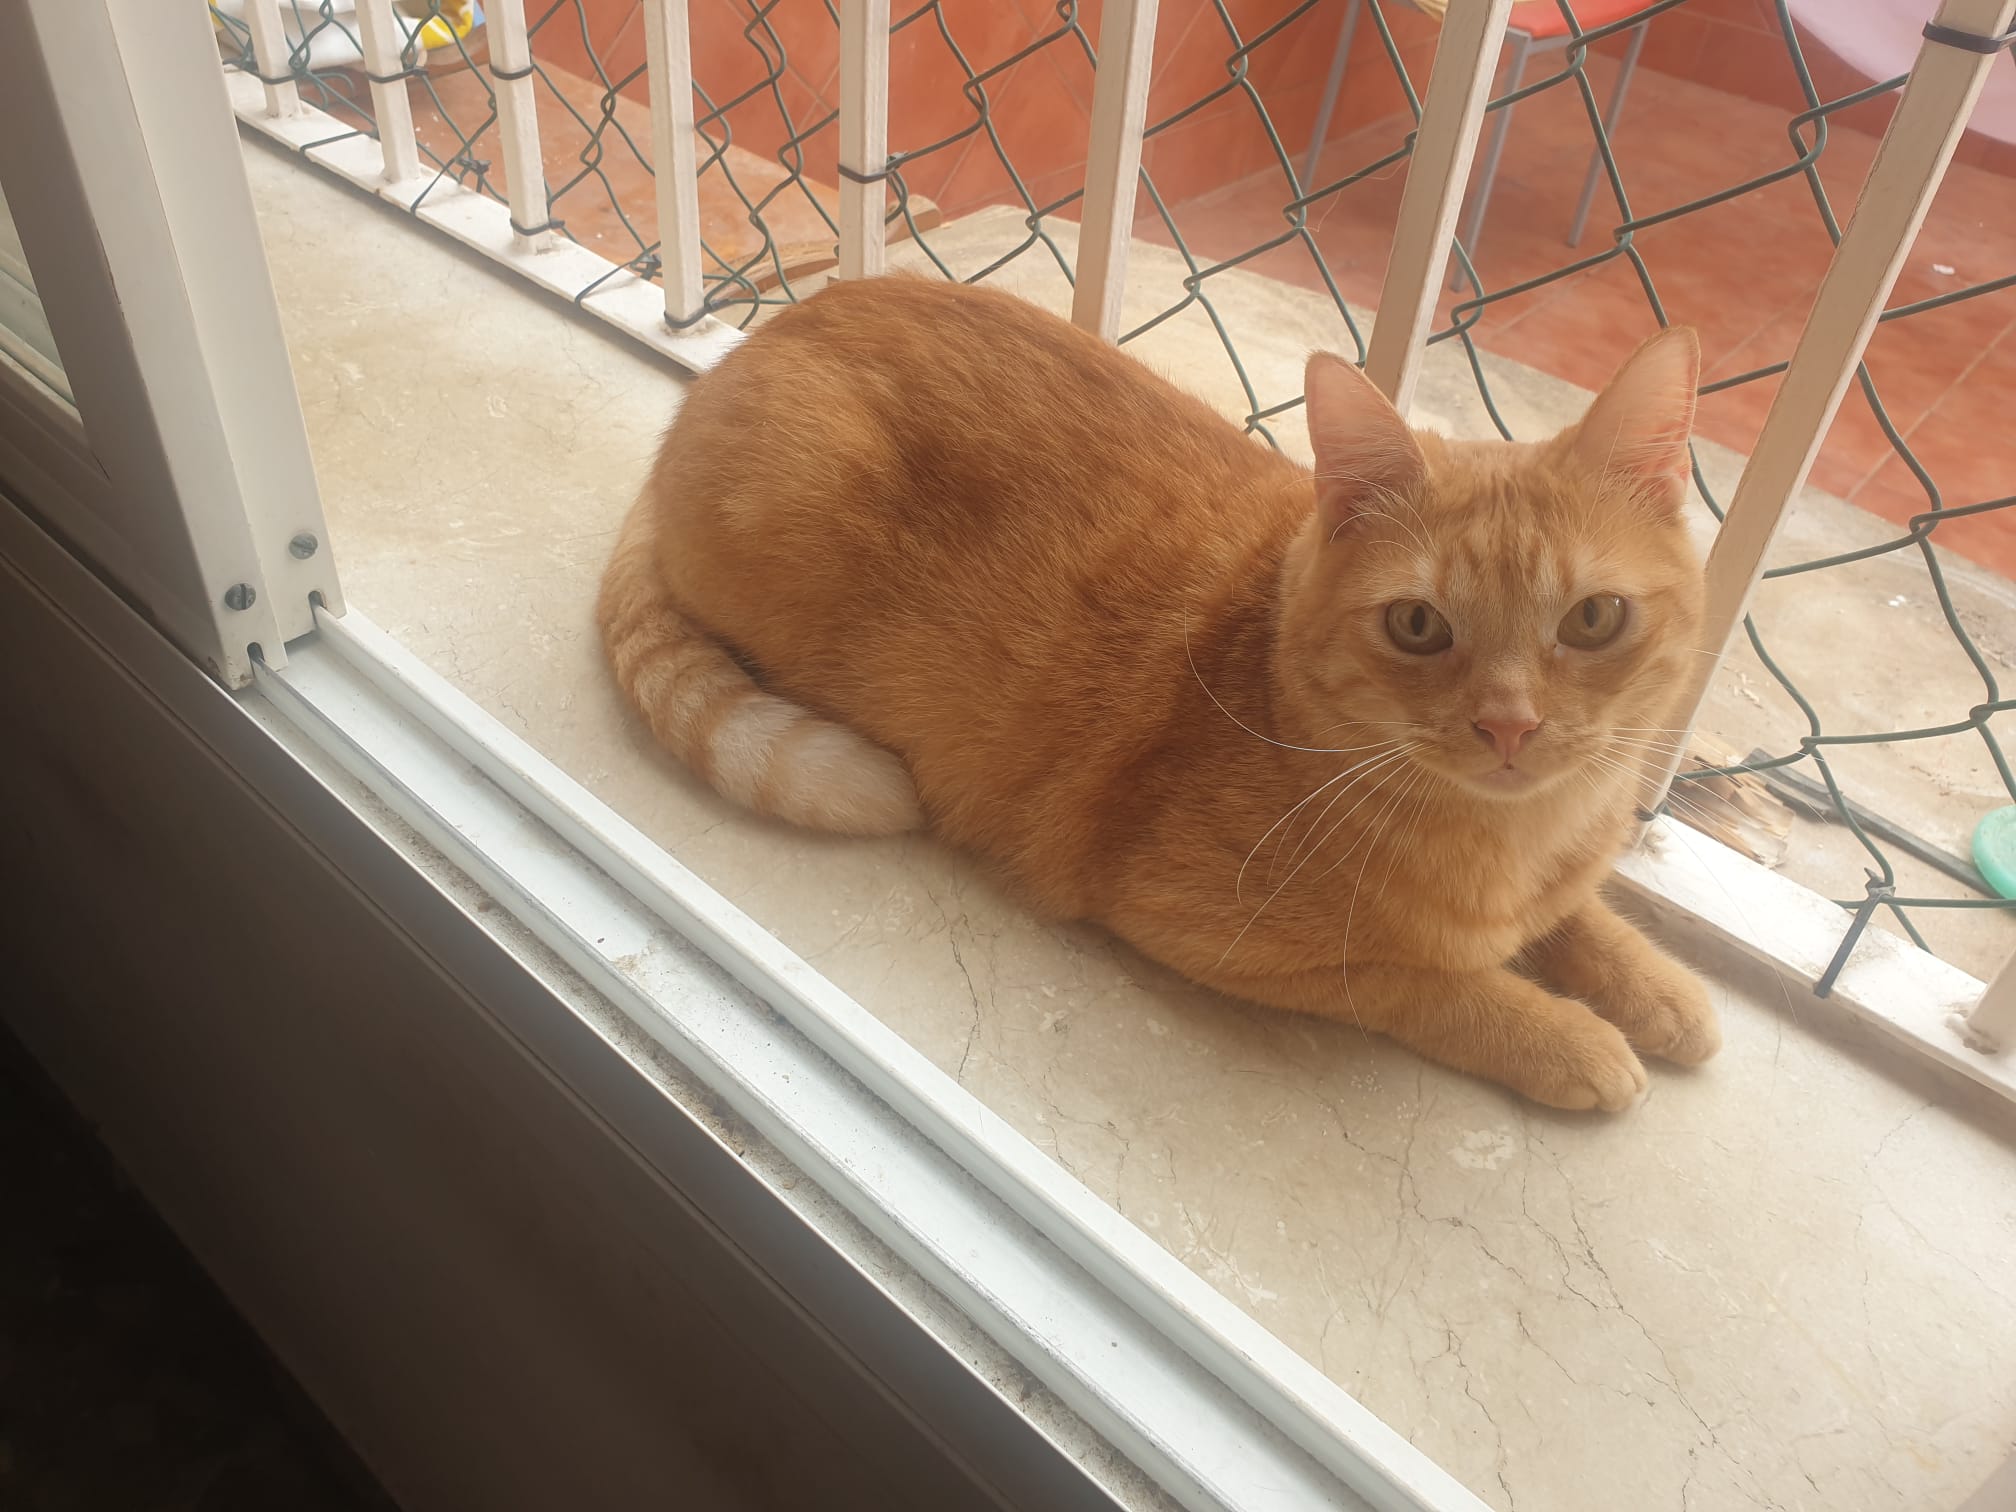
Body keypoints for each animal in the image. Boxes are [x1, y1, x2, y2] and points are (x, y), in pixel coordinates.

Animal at [599, 276, 1720, 1111]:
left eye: (1594, 619)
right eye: (1418, 626)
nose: (1509, 725)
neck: (1514, 842)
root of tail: (751, 345)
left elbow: (1581, 915)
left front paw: (1657, 989)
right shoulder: (1201, 924)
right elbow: (1426, 982)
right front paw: (1570, 1040)